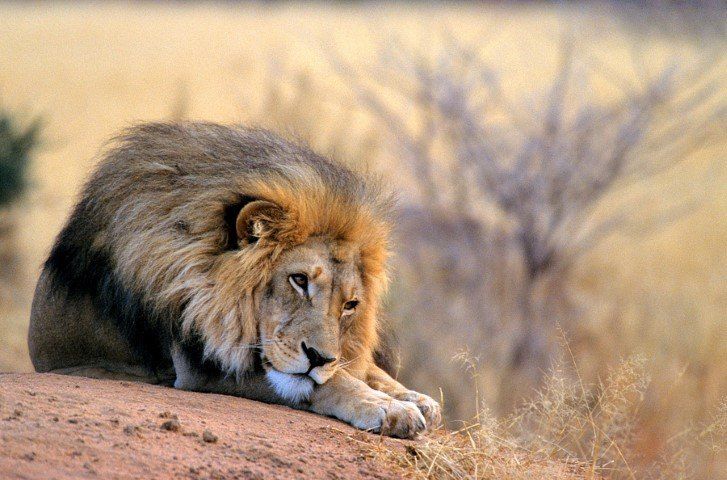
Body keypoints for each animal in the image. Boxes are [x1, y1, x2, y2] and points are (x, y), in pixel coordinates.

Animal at [28, 122, 441, 438]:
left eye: (351, 305)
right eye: (299, 280)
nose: (319, 358)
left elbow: (361, 371)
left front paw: (415, 398)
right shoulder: (200, 366)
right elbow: (326, 382)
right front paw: (388, 409)